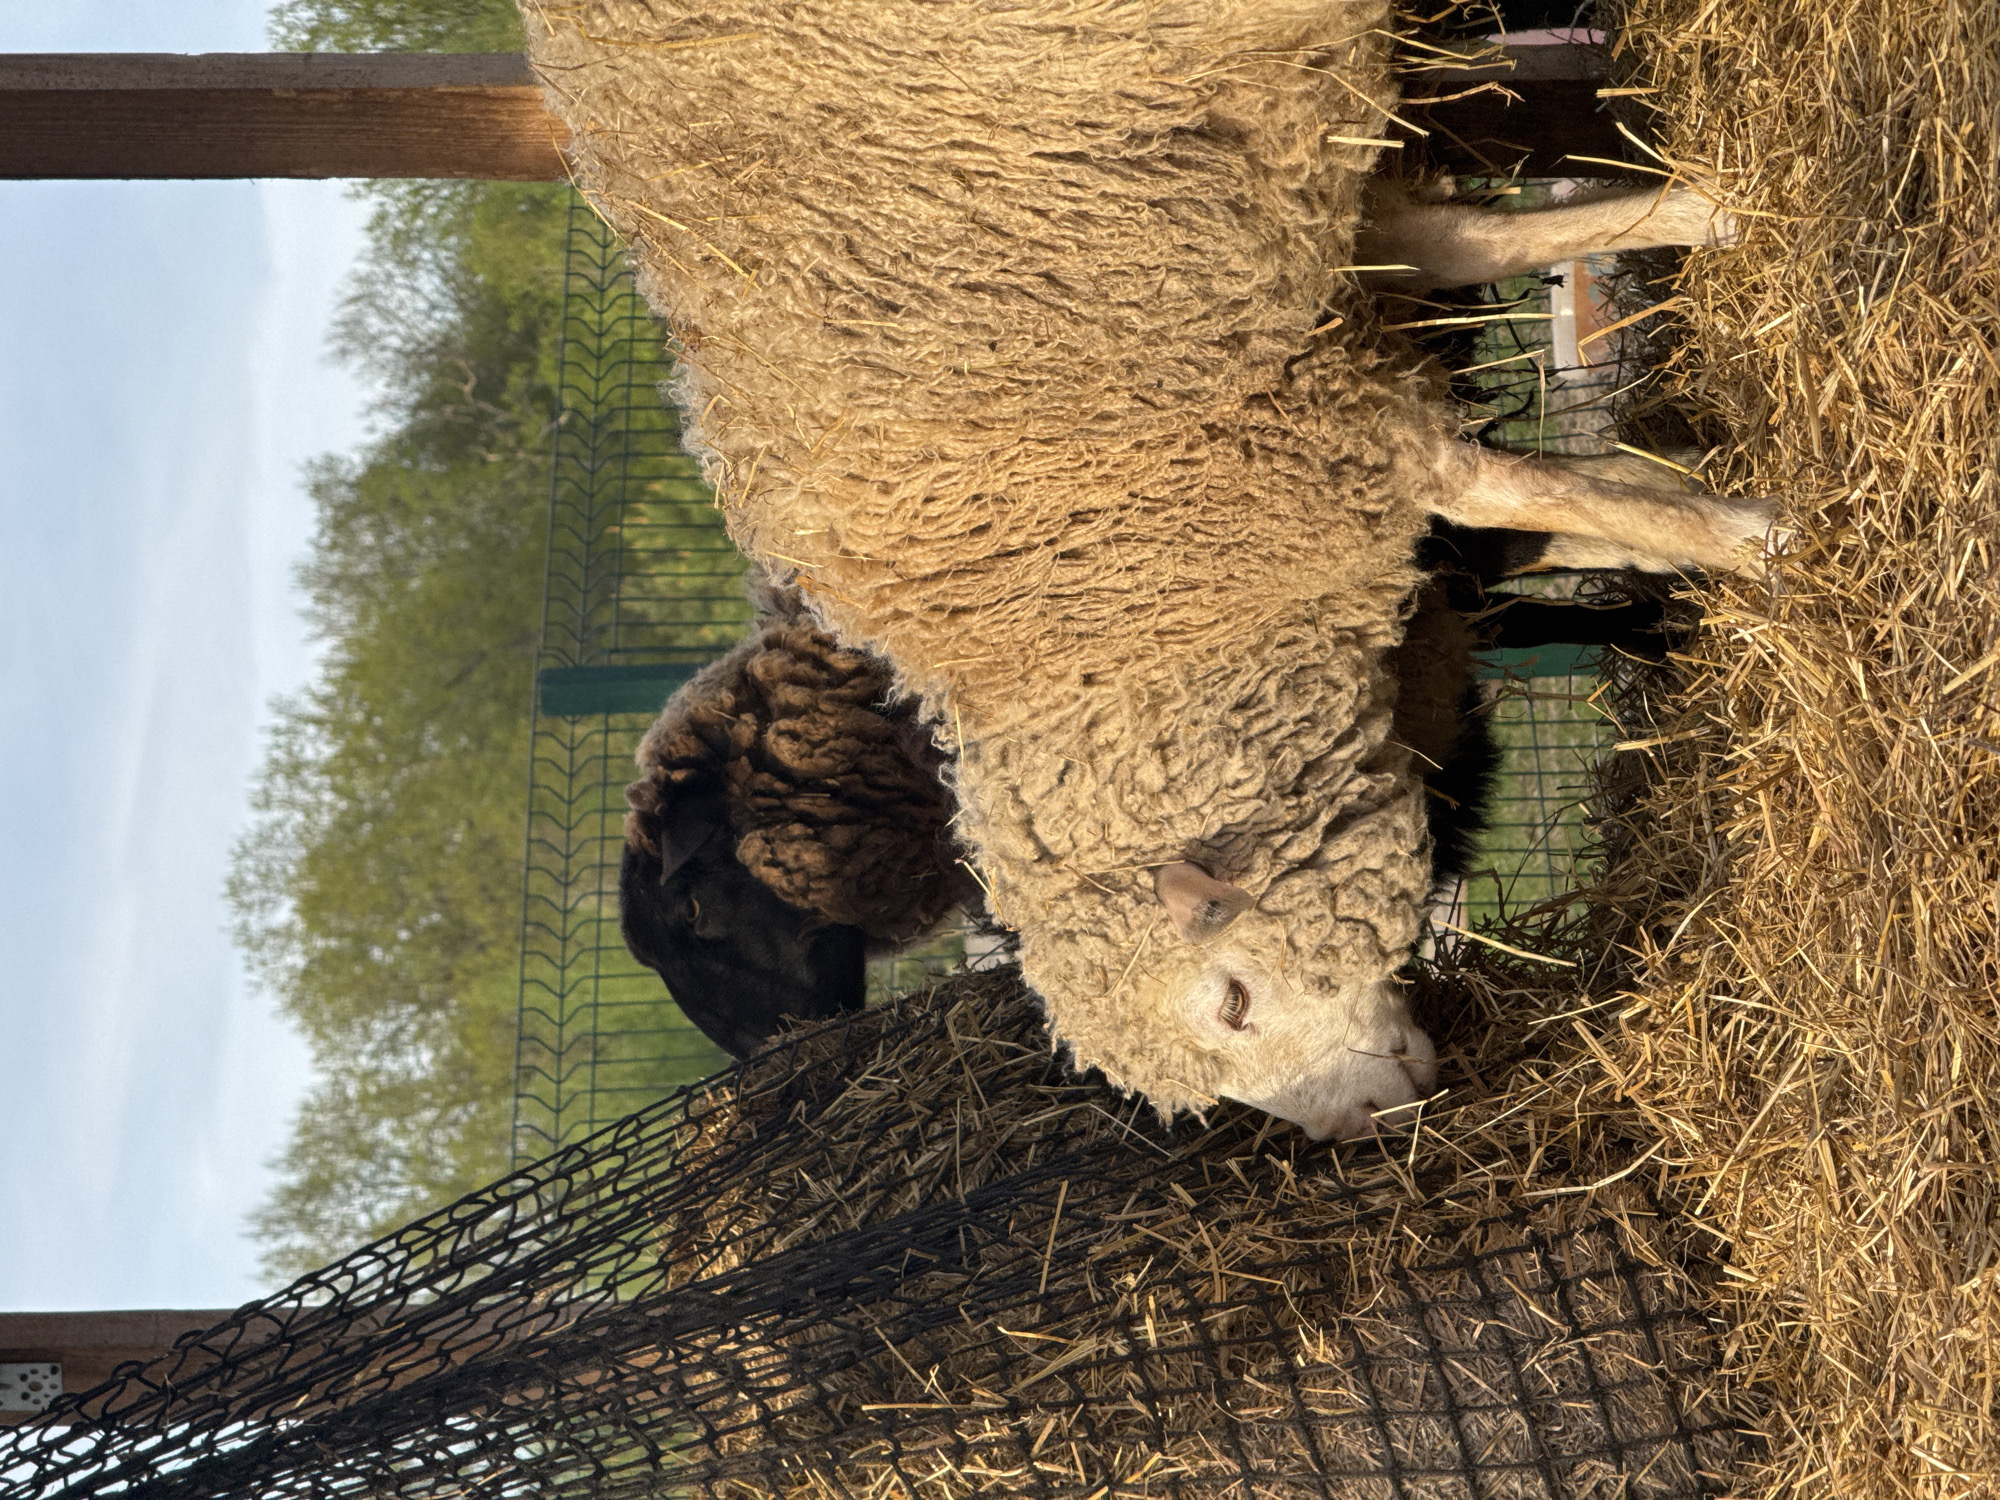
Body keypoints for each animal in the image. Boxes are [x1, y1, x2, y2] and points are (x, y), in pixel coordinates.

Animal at [528, 0, 1768, 1138]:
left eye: (1232, 1000)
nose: (1366, 1127)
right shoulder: (1272, 272)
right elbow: (1497, 331)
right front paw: (1701, 238)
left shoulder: (1252, 397)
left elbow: (1508, 482)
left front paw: (1756, 532)